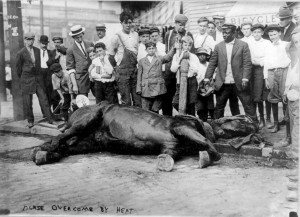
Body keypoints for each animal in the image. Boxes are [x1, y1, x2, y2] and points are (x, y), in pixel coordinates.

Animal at [31, 101, 221, 171]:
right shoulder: (179, 129)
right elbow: (206, 143)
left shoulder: (171, 145)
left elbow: (167, 157)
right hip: (89, 119)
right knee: (62, 137)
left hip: (90, 141)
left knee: (65, 144)